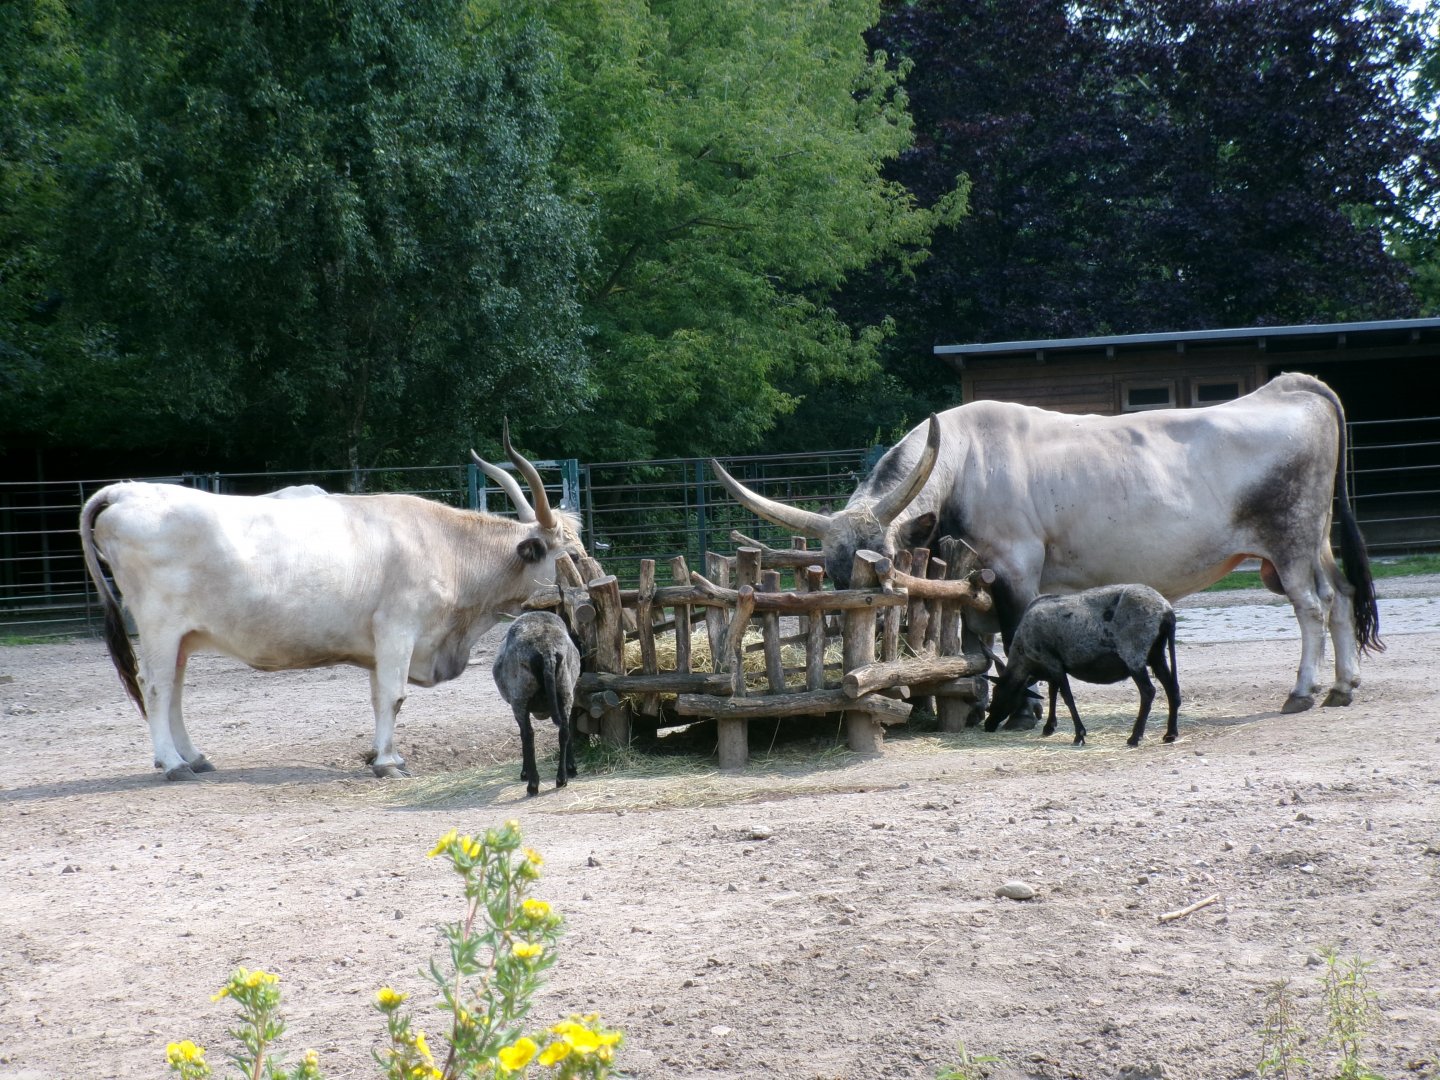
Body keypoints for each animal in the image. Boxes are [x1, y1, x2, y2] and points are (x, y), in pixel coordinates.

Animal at [492, 611, 582, 796]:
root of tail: (547, 649)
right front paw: (572, 768)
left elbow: (522, 735)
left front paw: (524, 773)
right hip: (565, 688)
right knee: (564, 730)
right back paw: (562, 778)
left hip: (520, 696)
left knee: (528, 735)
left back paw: (533, 784)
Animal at [711, 372, 1382, 715]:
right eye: (831, 574)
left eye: (884, 572)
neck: (966, 462)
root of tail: (1292, 389)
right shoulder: (974, 581)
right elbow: (976, 643)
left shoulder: (1016, 569)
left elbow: (1014, 635)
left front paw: (1027, 704)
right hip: (1314, 543)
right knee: (1343, 596)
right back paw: (1343, 687)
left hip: (1289, 541)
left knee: (1313, 606)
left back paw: (1302, 691)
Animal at [983, 584, 1180, 747]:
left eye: (997, 693)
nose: (988, 724)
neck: (1023, 655)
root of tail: (1167, 611)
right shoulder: (1053, 666)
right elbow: (1053, 693)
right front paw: (1049, 727)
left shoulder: (1051, 660)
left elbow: (1067, 697)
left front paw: (1079, 735)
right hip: (1156, 653)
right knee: (1172, 689)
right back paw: (1170, 734)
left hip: (1134, 653)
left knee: (1148, 691)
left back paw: (1134, 737)